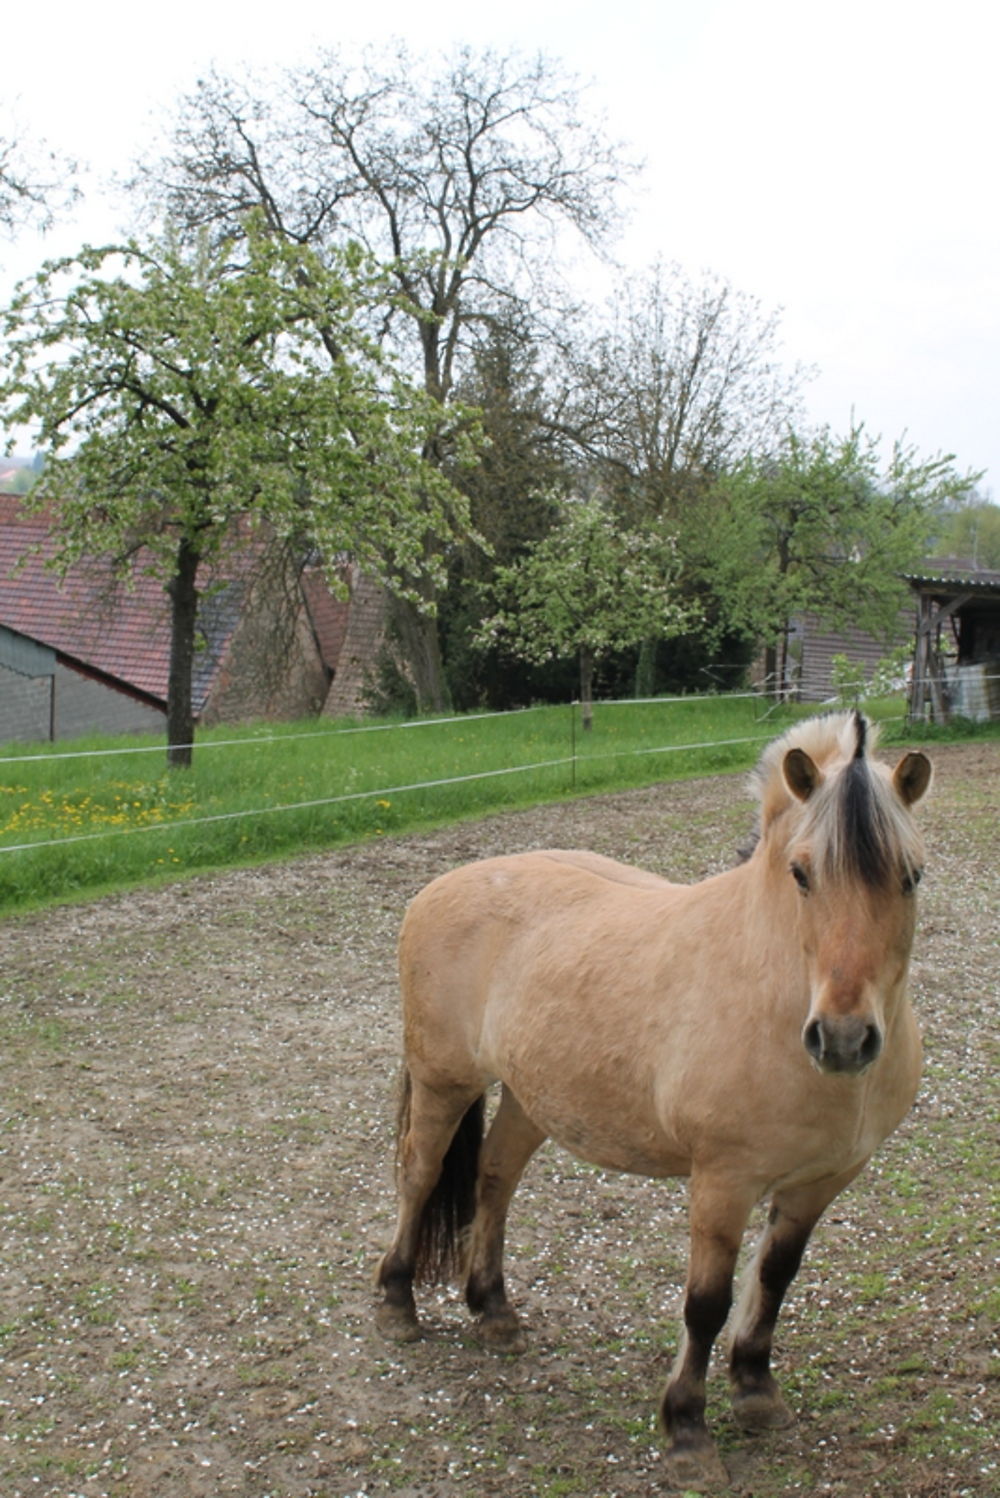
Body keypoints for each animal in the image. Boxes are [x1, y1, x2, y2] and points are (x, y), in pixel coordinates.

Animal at [374, 713, 928, 1486]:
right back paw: (398, 1304)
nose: (844, 1040)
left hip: (529, 1098)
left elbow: (775, 1279)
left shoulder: (821, 1183)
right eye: (802, 874)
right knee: (419, 1177)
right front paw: (687, 1431)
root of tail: (440, 886)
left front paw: (756, 1390)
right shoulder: (722, 1183)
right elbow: (707, 1304)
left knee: (494, 1178)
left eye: (911, 875)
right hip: (443, 1081)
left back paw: (493, 1311)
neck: (768, 984)